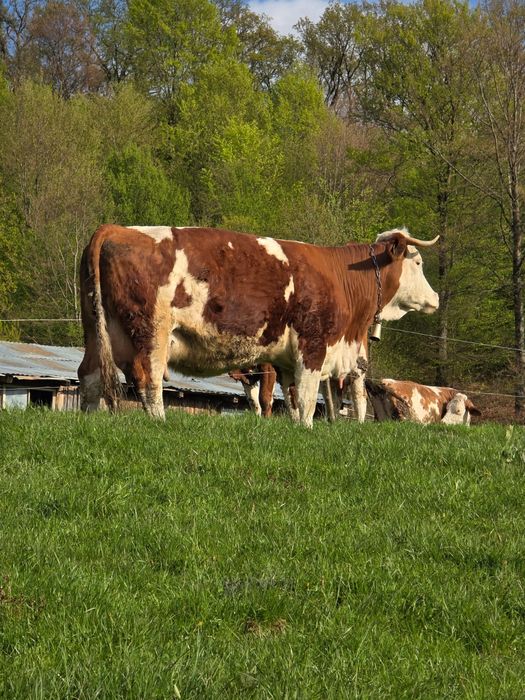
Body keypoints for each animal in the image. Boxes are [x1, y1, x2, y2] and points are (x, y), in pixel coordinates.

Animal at [78, 225, 439, 427]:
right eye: (419, 262)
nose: (435, 297)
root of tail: (116, 228)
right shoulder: (313, 346)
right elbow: (307, 400)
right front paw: (308, 431)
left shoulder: (286, 361)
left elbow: (293, 400)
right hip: (152, 333)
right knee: (148, 379)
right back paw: (159, 422)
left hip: (96, 330)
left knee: (90, 376)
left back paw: (88, 422)